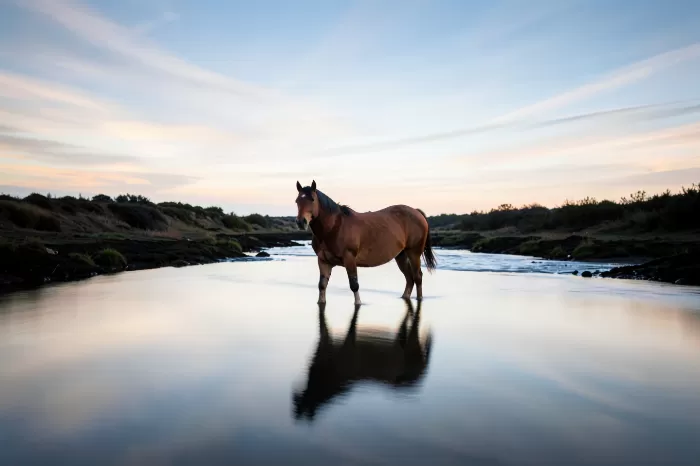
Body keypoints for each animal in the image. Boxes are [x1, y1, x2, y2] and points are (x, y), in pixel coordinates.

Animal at [294, 180, 437, 305]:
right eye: (297, 201)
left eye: (312, 199)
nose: (301, 222)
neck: (334, 227)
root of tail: (417, 212)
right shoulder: (323, 261)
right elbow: (322, 285)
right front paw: (321, 301)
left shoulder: (349, 259)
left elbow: (354, 285)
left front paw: (359, 303)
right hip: (401, 255)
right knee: (409, 278)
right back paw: (404, 297)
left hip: (414, 253)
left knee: (417, 277)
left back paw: (419, 299)